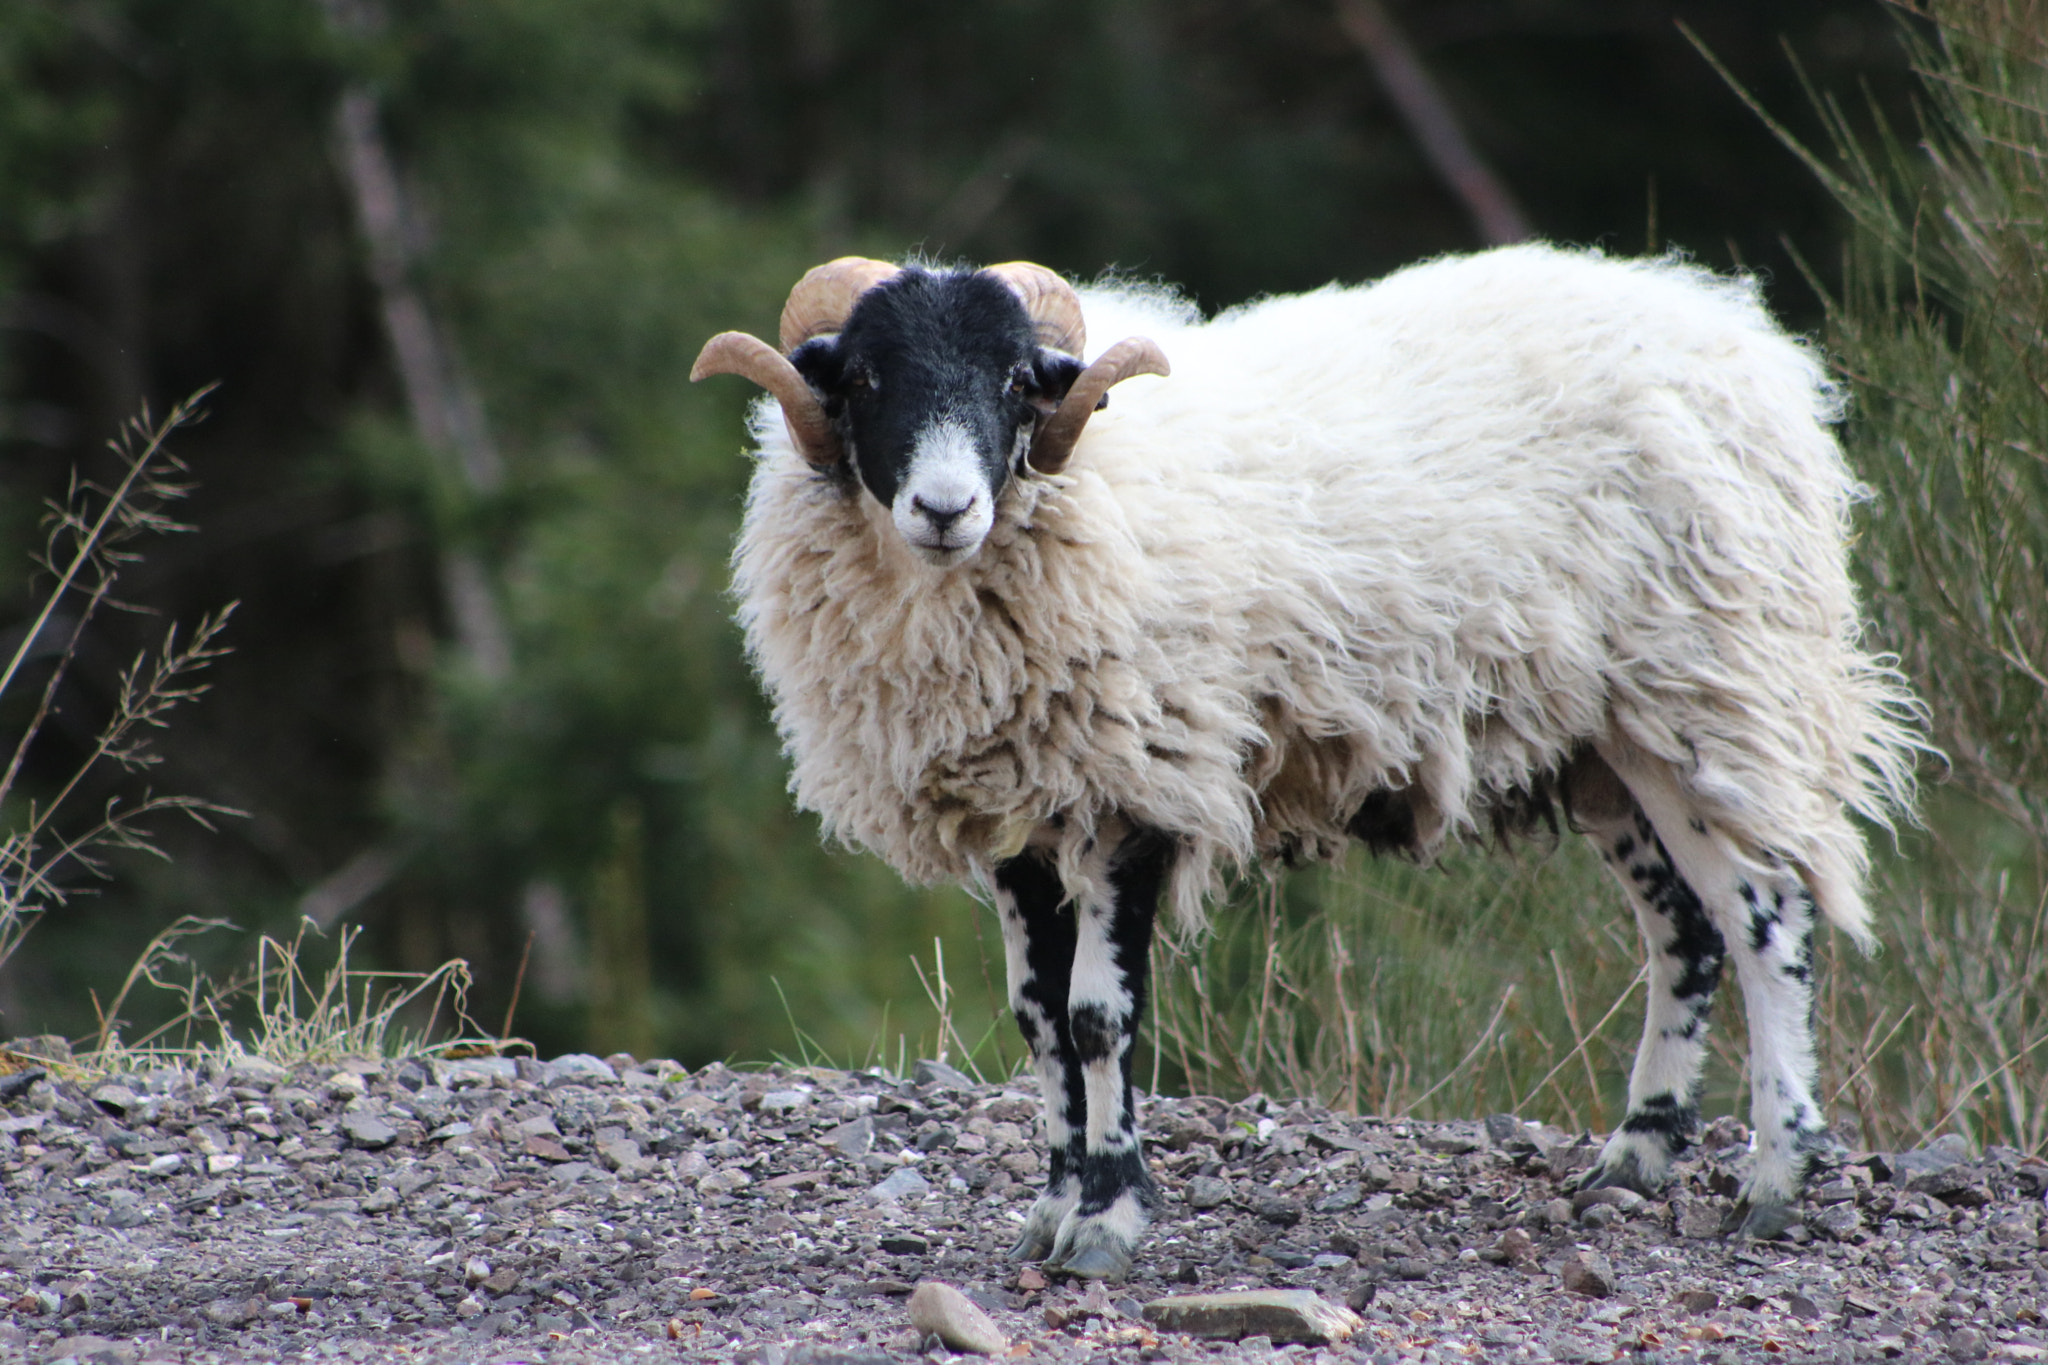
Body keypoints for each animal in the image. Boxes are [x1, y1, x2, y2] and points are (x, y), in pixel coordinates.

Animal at [696, 245, 1925, 1285]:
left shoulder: (1142, 784)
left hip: (1706, 685)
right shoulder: (1022, 812)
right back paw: (1635, 1153)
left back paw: (1776, 1174)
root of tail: (1745, 339)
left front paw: (1107, 1220)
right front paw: (1049, 1213)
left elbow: (1097, 1020)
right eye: (862, 376)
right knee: (1684, 929)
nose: (945, 508)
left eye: (1015, 381)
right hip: (1603, 745)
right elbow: (1039, 1019)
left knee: (1763, 912)